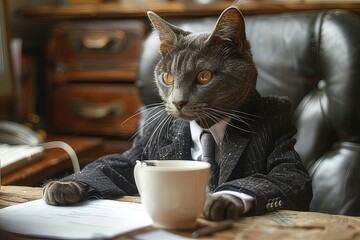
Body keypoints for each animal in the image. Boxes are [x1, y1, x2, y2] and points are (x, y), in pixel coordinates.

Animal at [42, 5, 312, 220]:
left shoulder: (281, 137)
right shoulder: (141, 148)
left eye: (205, 76)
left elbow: (285, 174)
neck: (206, 127)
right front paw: (63, 186)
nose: (178, 101)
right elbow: (111, 162)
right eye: (168, 77)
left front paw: (220, 199)